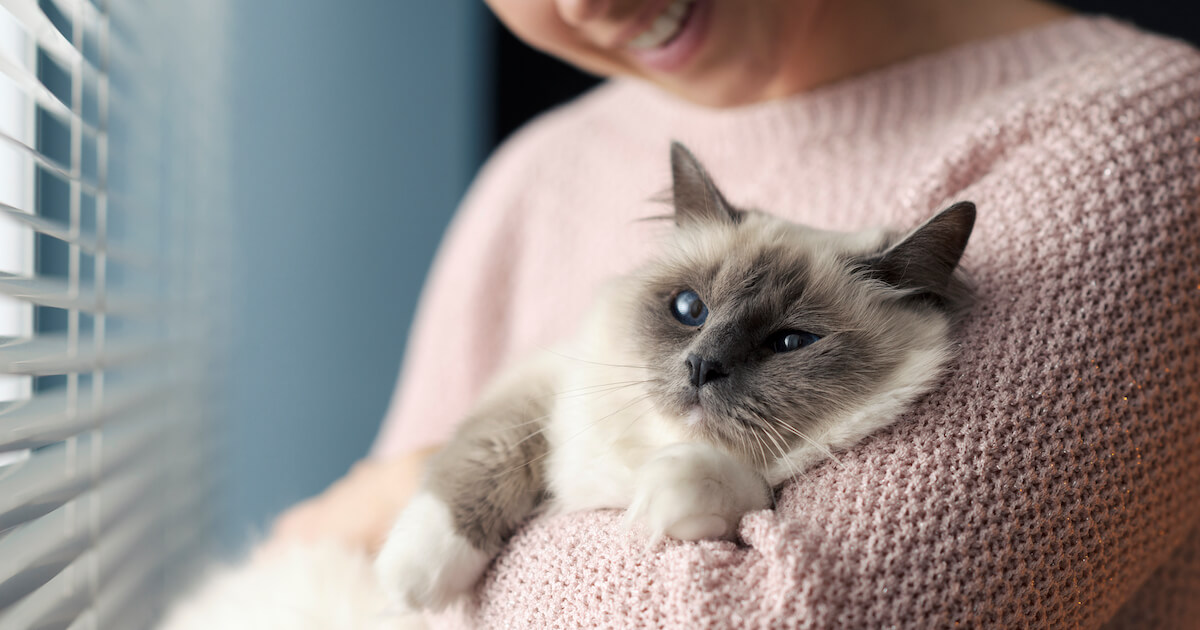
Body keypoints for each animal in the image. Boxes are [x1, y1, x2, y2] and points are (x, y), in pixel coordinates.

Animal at [374, 138, 974, 614]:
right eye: (689, 309)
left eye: (790, 342)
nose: (702, 366)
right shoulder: (541, 383)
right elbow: (482, 459)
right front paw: (409, 585)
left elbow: (742, 489)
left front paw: (666, 493)